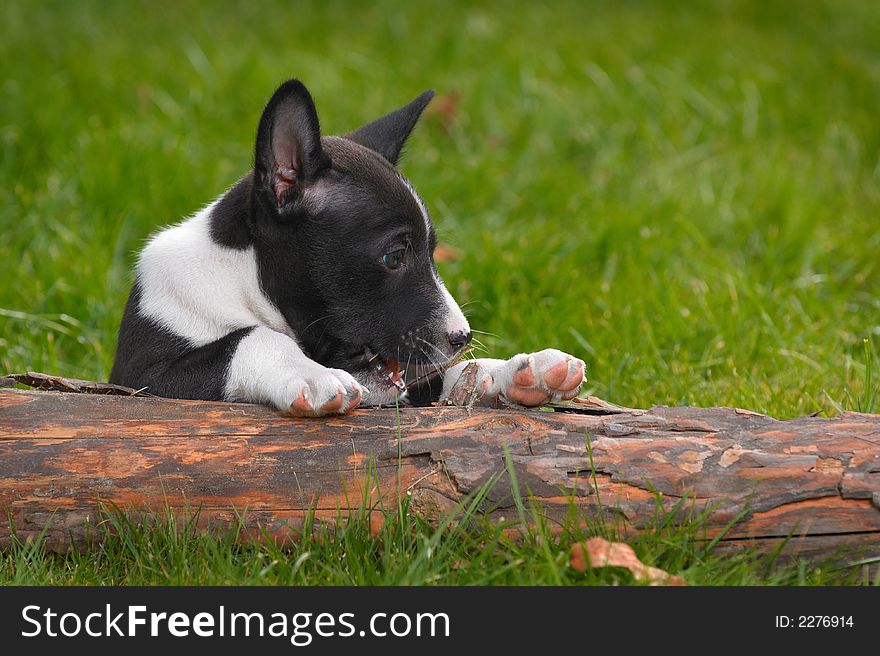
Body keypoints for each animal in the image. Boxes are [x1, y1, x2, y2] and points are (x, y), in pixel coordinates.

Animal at [108, 80, 584, 416]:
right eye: (395, 257)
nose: (462, 337)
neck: (237, 280)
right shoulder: (145, 381)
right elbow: (248, 338)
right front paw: (310, 375)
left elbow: (440, 378)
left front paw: (522, 370)